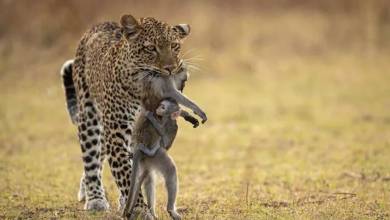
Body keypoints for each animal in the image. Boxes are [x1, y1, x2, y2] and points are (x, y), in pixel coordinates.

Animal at [60, 14, 207, 218]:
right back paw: (95, 197)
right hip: (90, 118)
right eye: (151, 48)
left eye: (175, 46)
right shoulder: (116, 133)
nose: (171, 68)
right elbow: (126, 174)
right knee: (91, 160)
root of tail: (98, 25)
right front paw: (139, 209)